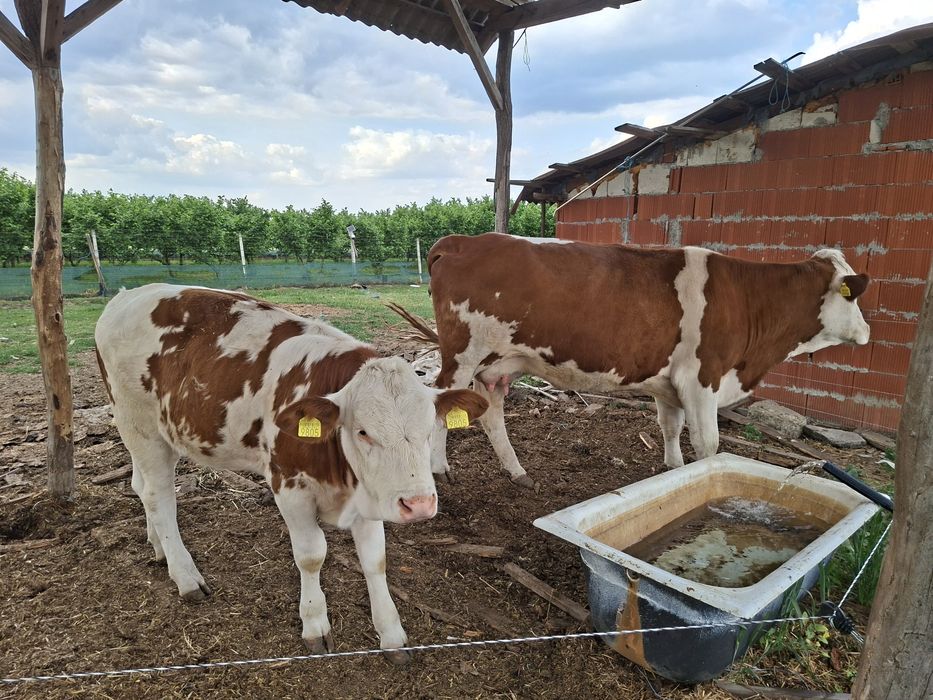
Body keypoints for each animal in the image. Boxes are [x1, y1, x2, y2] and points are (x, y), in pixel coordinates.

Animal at [94, 284, 487, 663]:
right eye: (362, 431)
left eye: (429, 429)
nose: (418, 504)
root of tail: (127, 295)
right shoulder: (289, 486)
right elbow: (312, 555)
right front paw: (315, 624)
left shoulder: (370, 490)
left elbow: (375, 559)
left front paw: (391, 635)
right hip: (139, 426)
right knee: (159, 496)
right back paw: (186, 575)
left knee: (141, 486)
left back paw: (158, 547)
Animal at [397, 233, 870, 488]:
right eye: (854, 294)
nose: (867, 332)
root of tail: (461, 241)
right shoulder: (703, 380)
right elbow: (708, 445)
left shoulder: (670, 384)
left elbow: (670, 429)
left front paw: (672, 473)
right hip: (462, 354)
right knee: (440, 405)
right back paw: (438, 469)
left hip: (497, 365)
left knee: (491, 414)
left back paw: (517, 472)